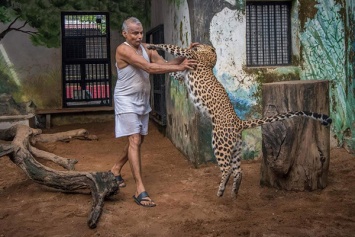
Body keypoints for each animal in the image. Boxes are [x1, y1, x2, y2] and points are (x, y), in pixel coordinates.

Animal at [147, 43, 330, 198]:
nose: (195, 43)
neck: (211, 59)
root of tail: (238, 122)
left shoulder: (191, 55)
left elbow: (173, 47)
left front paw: (152, 46)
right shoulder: (181, 72)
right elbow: (171, 69)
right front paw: (156, 55)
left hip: (219, 143)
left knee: (227, 168)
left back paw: (221, 189)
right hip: (235, 148)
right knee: (238, 171)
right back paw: (233, 192)